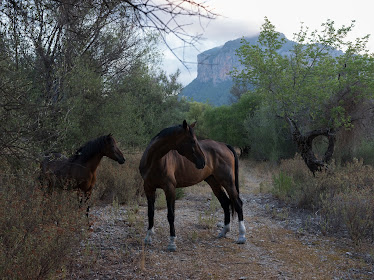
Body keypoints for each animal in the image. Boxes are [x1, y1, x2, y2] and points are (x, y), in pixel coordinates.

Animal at [140, 120, 245, 252]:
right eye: (192, 141)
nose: (203, 162)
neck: (154, 161)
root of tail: (225, 145)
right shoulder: (148, 188)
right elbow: (150, 213)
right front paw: (148, 238)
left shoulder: (170, 189)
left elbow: (171, 215)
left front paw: (172, 242)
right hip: (213, 181)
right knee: (225, 202)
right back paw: (224, 231)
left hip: (228, 182)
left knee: (238, 203)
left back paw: (242, 236)